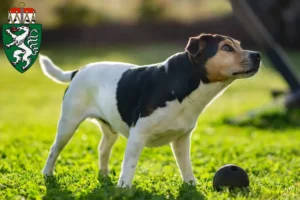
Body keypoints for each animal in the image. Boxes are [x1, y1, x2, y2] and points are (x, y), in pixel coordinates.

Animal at [39, 33, 260, 188]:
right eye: (226, 48)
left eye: (239, 45)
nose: (257, 55)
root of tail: (79, 71)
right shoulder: (137, 136)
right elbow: (128, 167)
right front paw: (124, 189)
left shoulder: (182, 139)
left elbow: (185, 165)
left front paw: (191, 185)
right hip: (68, 124)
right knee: (54, 149)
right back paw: (47, 174)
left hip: (110, 128)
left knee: (102, 148)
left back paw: (103, 175)